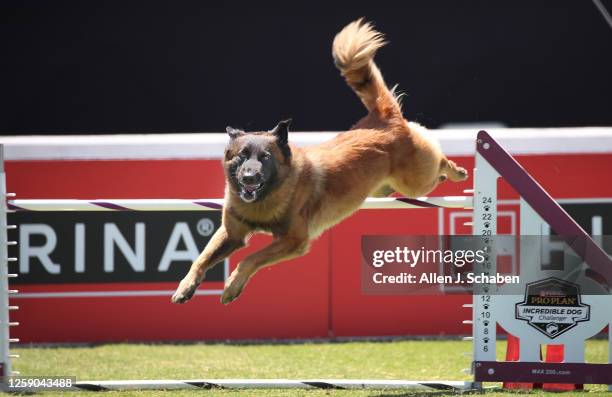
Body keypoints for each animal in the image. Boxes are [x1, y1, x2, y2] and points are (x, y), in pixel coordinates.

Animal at [172, 17, 468, 304]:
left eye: (264, 158)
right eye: (242, 157)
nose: (248, 178)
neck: (269, 196)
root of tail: (384, 119)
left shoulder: (294, 239)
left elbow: (249, 258)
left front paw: (232, 285)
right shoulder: (231, 233)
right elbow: (201, 258)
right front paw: (185, 287)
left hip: (416, 182)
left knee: (439, 161)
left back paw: (456, 171)